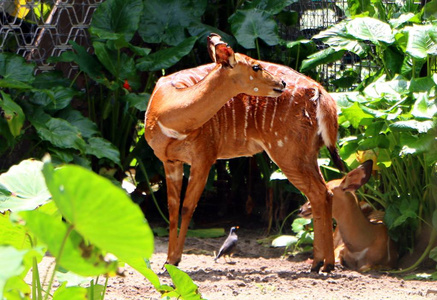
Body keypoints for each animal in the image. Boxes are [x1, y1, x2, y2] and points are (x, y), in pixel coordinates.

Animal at [145, 34, 342, 274]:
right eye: (255, 66)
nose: (281, 83)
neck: (166, 109)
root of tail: (320, 92)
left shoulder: (203, 158)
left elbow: (187, 208)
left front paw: (174, 261)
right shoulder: (169, 161)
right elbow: (172, 210)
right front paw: (167, 262)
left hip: (288, 152)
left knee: (318, 193)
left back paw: (322, 264)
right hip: (307, 153)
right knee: (324, 193)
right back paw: (321, 263)